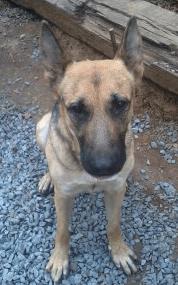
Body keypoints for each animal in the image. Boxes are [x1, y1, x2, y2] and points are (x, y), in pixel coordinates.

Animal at [36, 17, 143, 282]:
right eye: (76, 109)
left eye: (120, 104)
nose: (104, 168)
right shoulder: (63, 197)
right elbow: (62, 230)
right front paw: (60, 258)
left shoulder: (114, 192)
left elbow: (114, 225)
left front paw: (119, 251)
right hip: (41, 128)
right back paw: (47, 178)